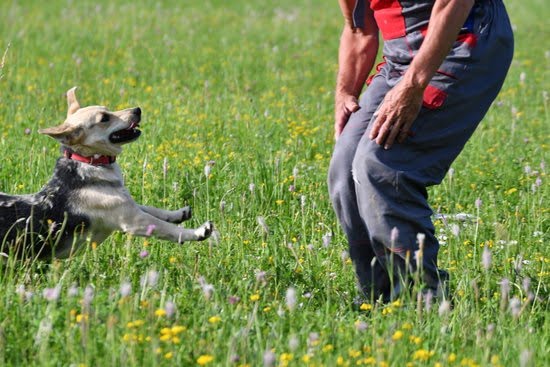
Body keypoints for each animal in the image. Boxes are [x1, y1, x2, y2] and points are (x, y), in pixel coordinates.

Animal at [0, 86, 213, 260]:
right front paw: (198, 232)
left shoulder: (127, 205)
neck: (90, 162)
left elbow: (151, 209)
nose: (137, 109)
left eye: (108, 109)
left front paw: (179, 213)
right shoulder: (134, 220)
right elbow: (167, 228)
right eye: (104, 118)